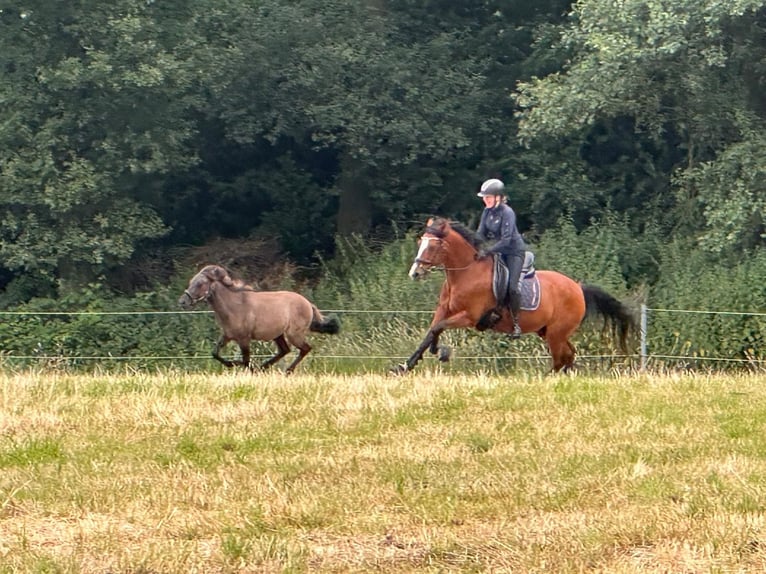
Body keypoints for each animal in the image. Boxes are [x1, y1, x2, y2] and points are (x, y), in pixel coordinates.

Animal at [178, 264, 340, 373]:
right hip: (278, 335)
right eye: (191, 282)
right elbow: (215, 353)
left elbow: (246, 360)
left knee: (305, 349)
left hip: (294, 334)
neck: (234, 306)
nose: (182, 302)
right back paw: (264, 367)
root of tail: (308, 304)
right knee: (285, 350)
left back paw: (286, 371)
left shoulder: (244, 339)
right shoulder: (227, 336)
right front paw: (232, 364)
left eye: (200, 284)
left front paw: (242, 366)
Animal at [396, 217, 635, 374]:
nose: (415, 273)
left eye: (435, 244)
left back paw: (546, 378)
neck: (466, 273)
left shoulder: (469, 317)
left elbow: (438, 328)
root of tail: (578, 288)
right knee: (568, 355)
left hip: (556, 333)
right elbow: (431, 332)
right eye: (421, 242)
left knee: (561, 358)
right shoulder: (444, 310)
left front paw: (442, 352)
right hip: (549, 332)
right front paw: (406, 365)